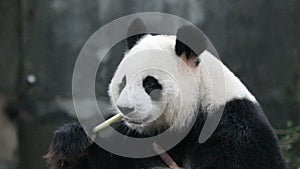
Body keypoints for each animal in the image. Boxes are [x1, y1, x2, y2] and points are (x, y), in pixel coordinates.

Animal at [44, 18, 286, 169]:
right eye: (123, 82)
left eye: (150, 83)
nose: (125, 109)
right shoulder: (133, 139)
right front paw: (71, 139)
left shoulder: (232, 128)